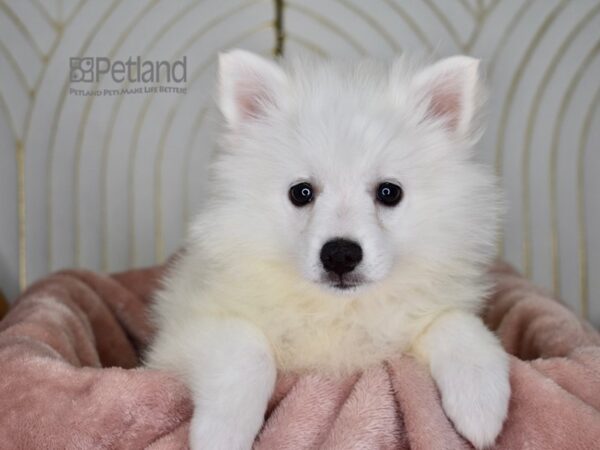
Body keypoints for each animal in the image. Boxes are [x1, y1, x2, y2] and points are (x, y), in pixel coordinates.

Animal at [146, 50, 510, 450]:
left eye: (389, 192)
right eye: (301, 192)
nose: (340, 255)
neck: (338, 310)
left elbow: (458, 324)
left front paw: (480, 406)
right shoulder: (180, 335)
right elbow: (246, 349)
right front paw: (222, 433)